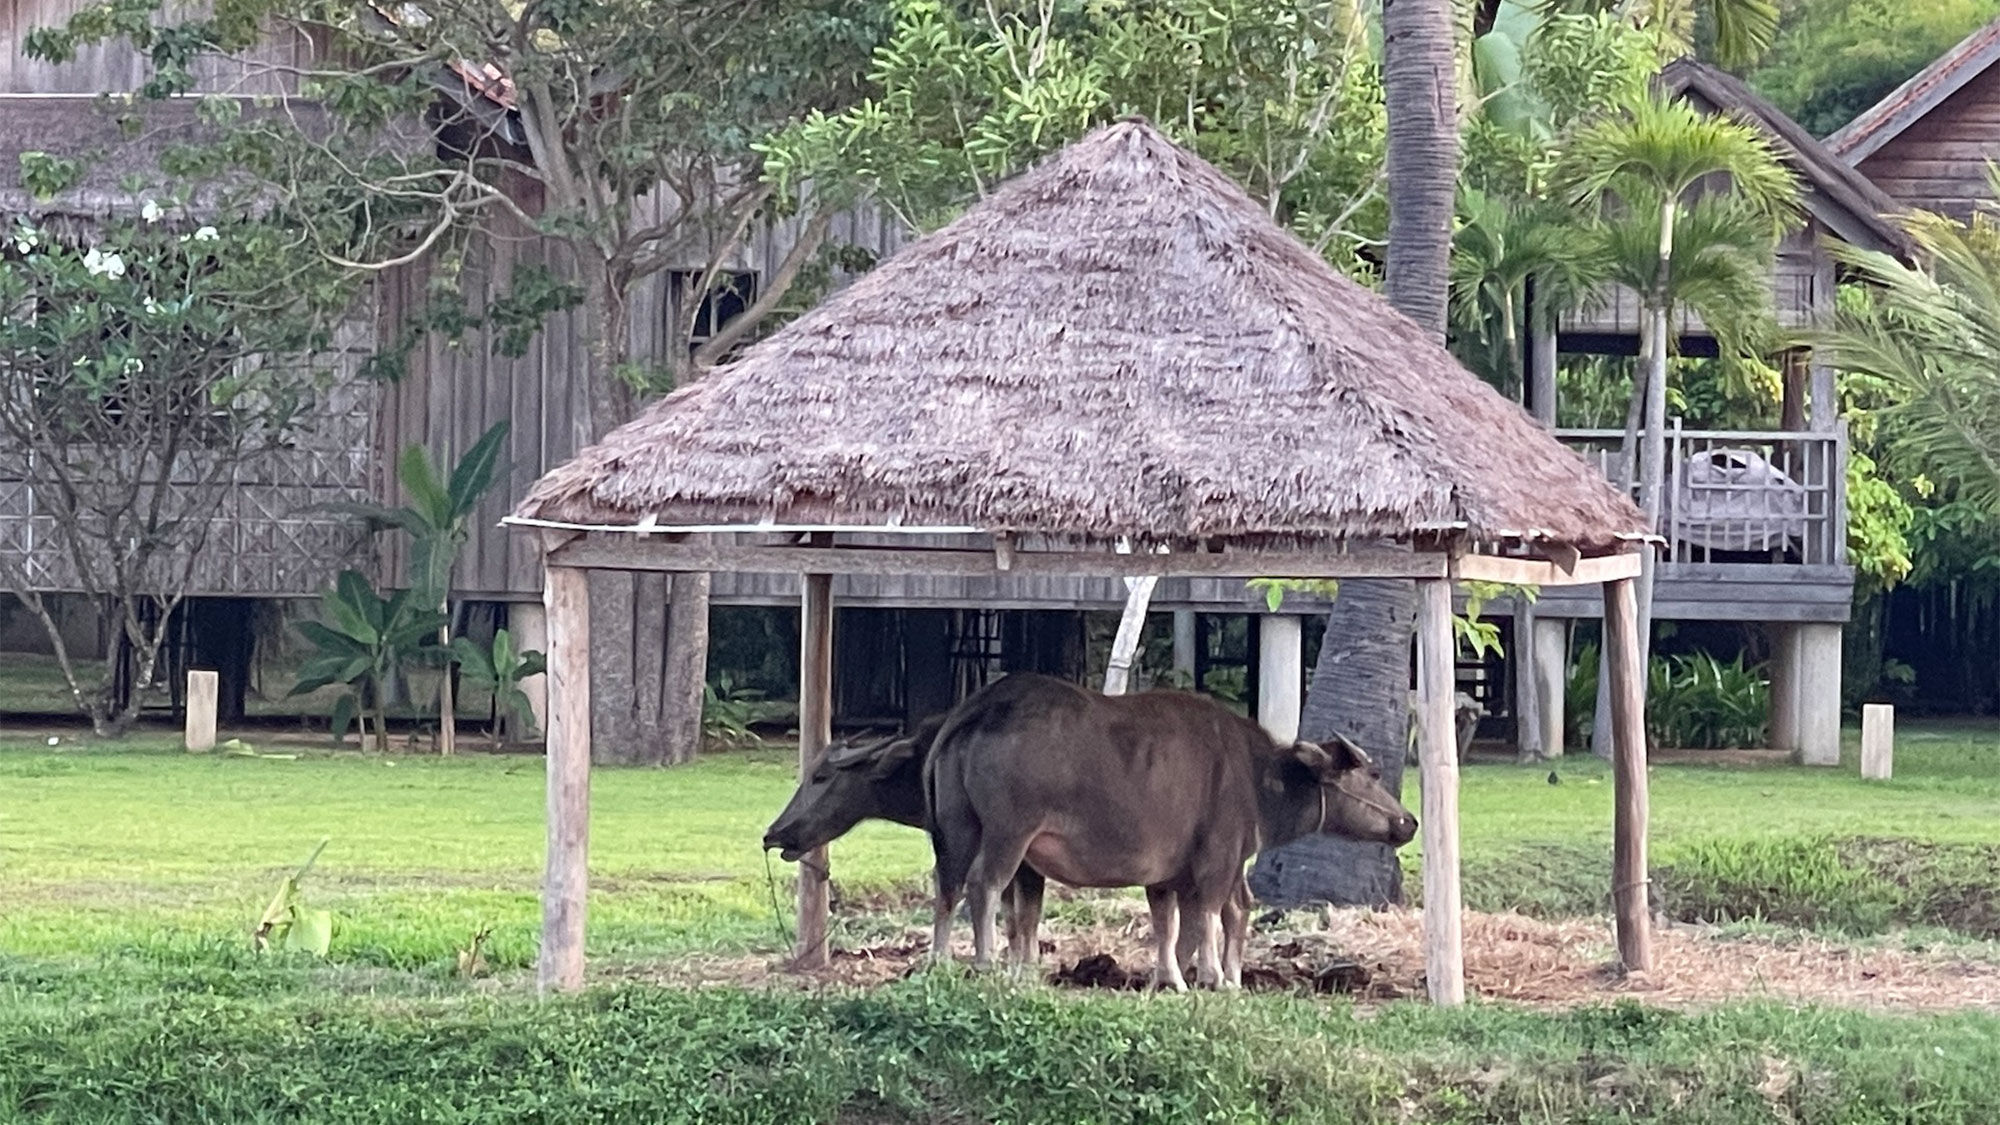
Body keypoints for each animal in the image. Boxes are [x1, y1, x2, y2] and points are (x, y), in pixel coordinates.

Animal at [928, 668, 1416, 984]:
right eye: (1374, 774)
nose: (1408, 821)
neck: (1256, 775)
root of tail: (979, 709)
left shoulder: (1169, 873)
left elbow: (1173, 922)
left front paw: (1172, 979)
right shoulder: (1219, 858)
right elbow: (1211, 913)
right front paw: (1214, 976)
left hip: (955, 829)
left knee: (949, 886)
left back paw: (940, 961)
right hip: (1010, 832)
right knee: (985, 884)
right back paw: (985, 963)